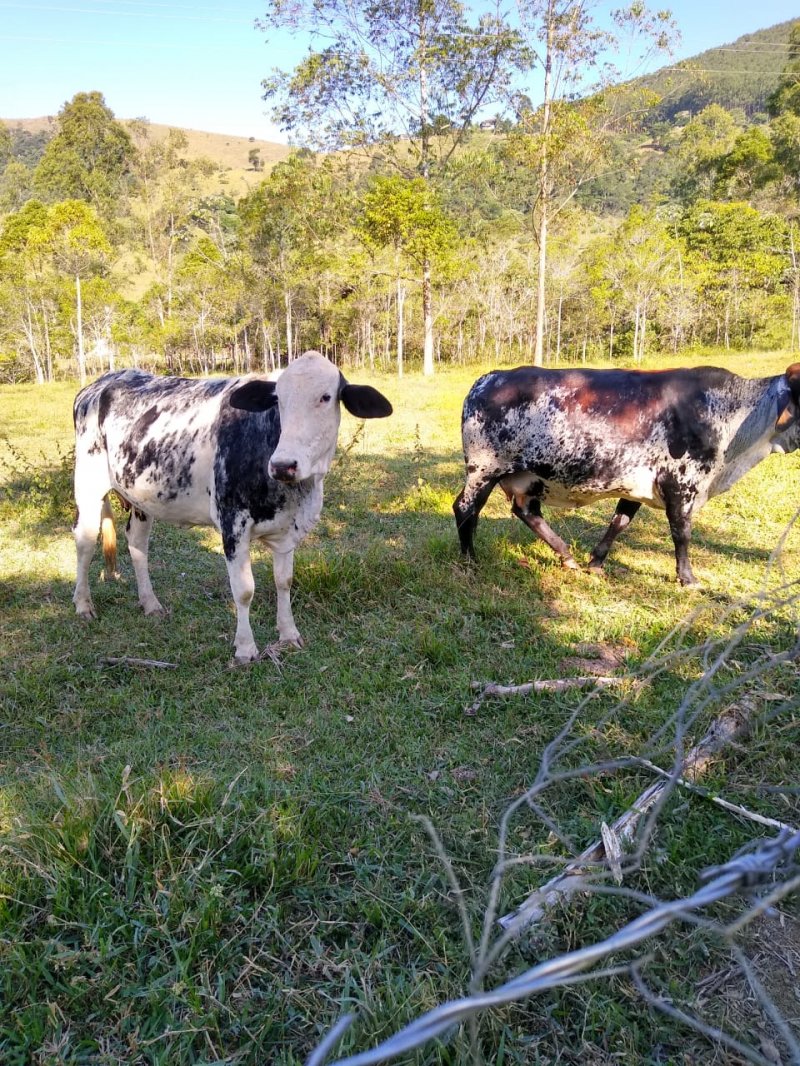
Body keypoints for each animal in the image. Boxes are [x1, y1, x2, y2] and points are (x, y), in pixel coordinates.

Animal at [73, 349, 392, 656]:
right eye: (278, 399)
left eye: (326, 397)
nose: (283, 465)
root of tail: (99, 384)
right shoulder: (232, 522)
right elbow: (244, 590)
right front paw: (245, 649)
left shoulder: (288, 528)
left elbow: (284, 581)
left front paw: (289, 635)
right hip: (88, 484)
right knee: (85, 541)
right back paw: (83, 605)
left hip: (141, 496)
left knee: (137, 542)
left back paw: (150, 603)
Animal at [454, 364, 800, 584]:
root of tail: (489, 378)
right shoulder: (681, 485)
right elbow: (682, 534)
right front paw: (688, 578)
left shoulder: (637, 486)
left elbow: (618, 523)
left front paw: (595, 563)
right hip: (485, 469)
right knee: (465, 508)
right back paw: (469, 561)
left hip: (527, 477)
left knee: (527, 511)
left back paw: (567, 556)